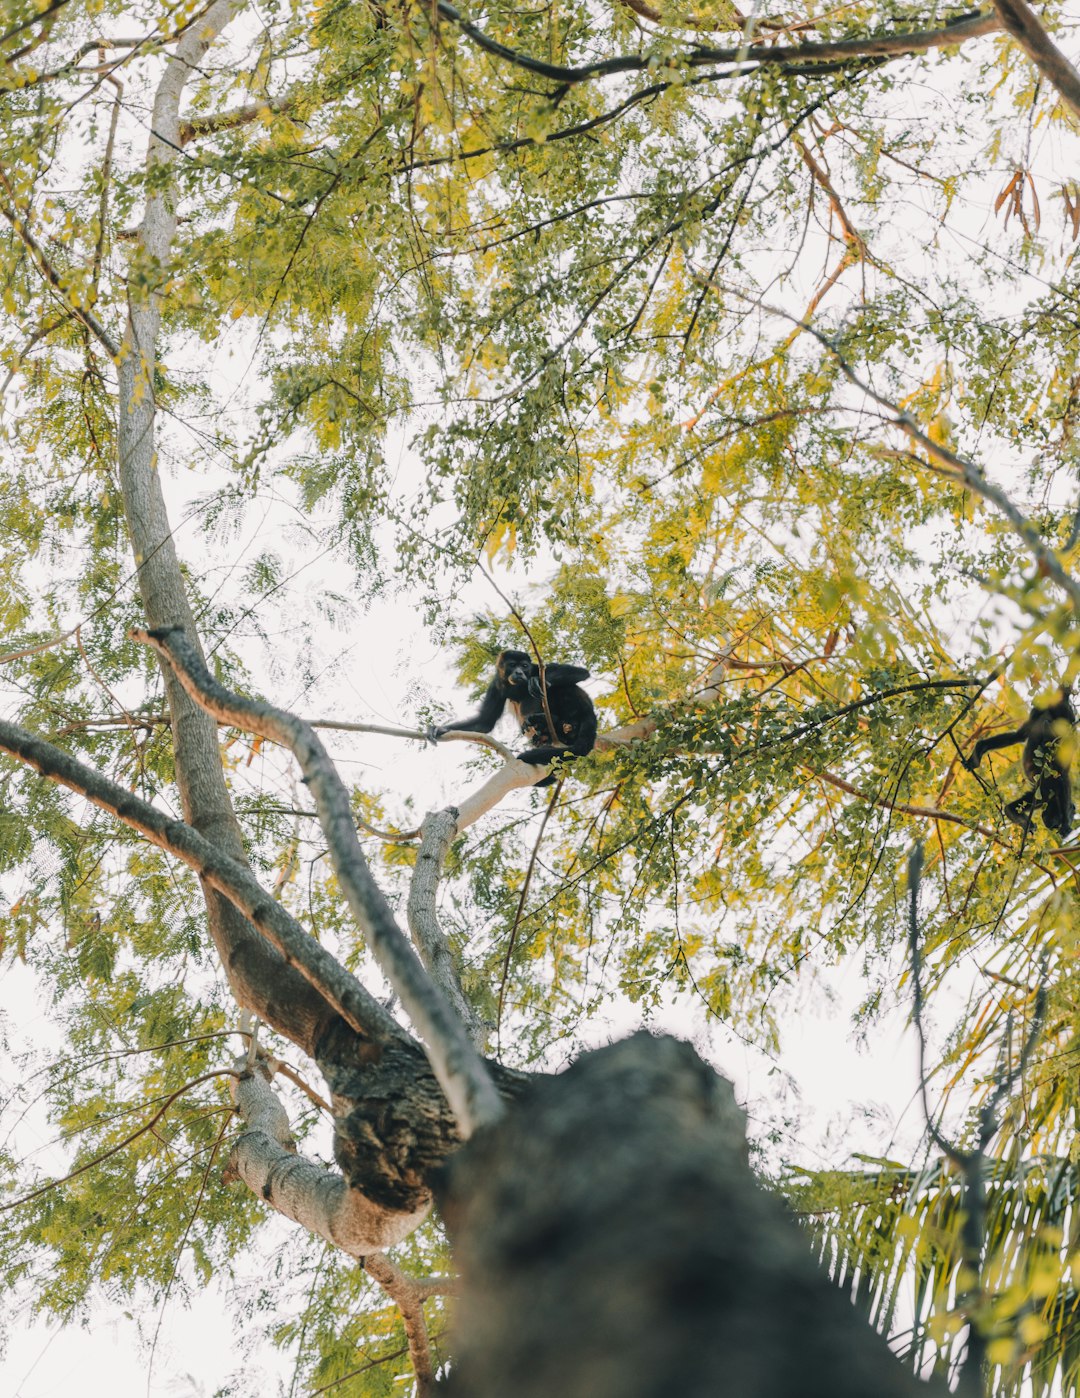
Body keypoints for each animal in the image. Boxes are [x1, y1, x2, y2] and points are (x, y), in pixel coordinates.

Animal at [430, 645, 597, 782]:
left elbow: (581, 673)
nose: (519, 672)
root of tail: (590, 714)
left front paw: (538, 681)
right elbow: (484, 722)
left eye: (524, 666)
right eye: (512, 665)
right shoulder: (496, 685)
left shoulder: (537, 668)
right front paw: (440, 729)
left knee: (564, 687)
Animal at [966, 685, 1073, 833]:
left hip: (1039, 710)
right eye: (1055, 824)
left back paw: (979, 749)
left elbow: (1009, 809)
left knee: (1019, 735)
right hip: (1065, 714)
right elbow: (1063, 781)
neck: (1051, 797)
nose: (1052, 826)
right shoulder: (1049, 788)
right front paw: (1066, 824)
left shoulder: (1039, 796)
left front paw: (1027, 824)